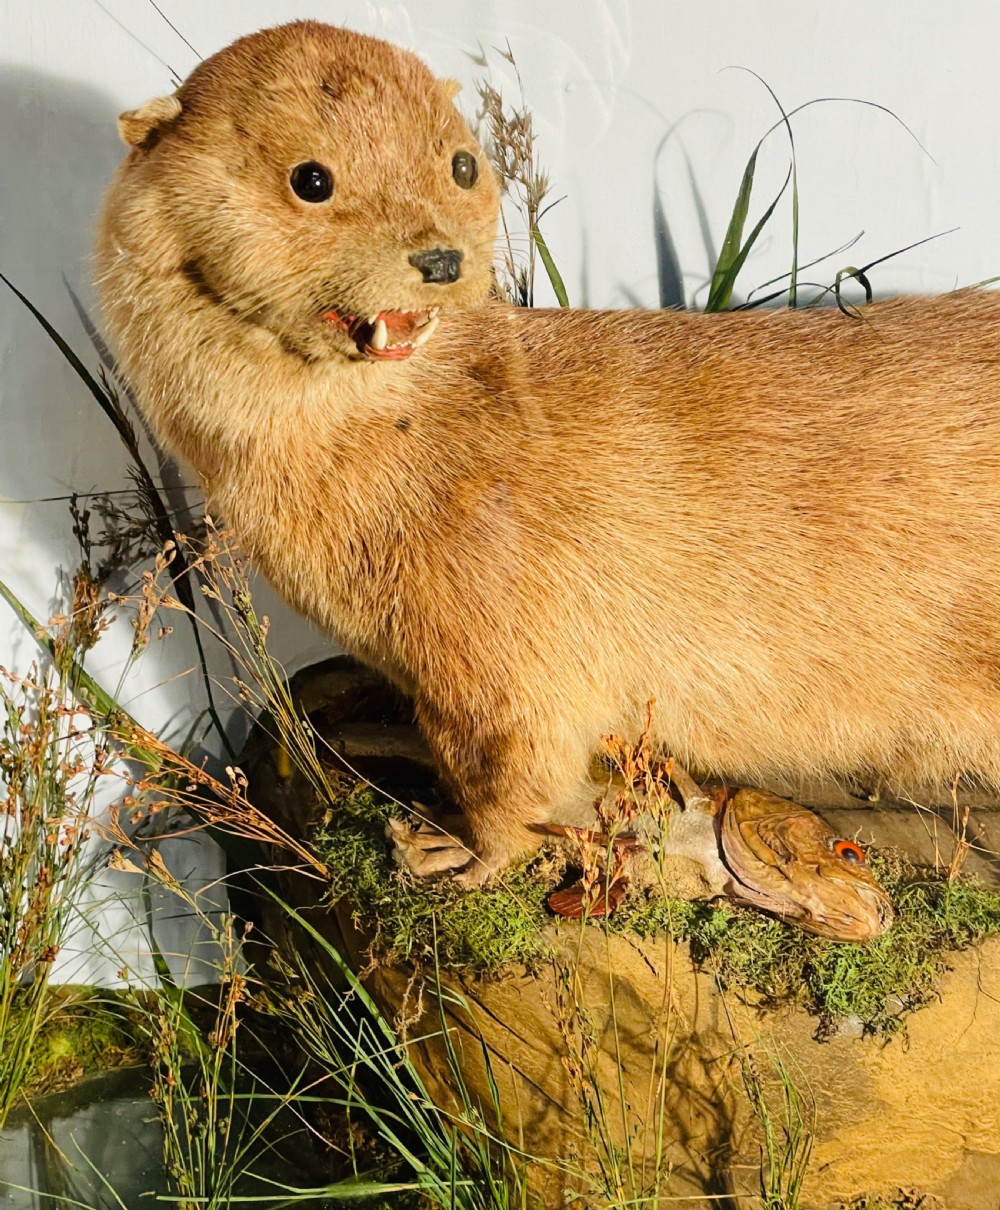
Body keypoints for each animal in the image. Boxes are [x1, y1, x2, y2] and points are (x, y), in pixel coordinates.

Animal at [97, 19, 1000, 884]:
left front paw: (451, 852)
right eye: (311, 179)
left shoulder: (504, 657)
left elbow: (512, 774)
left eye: (462, 163)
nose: (440, 257)